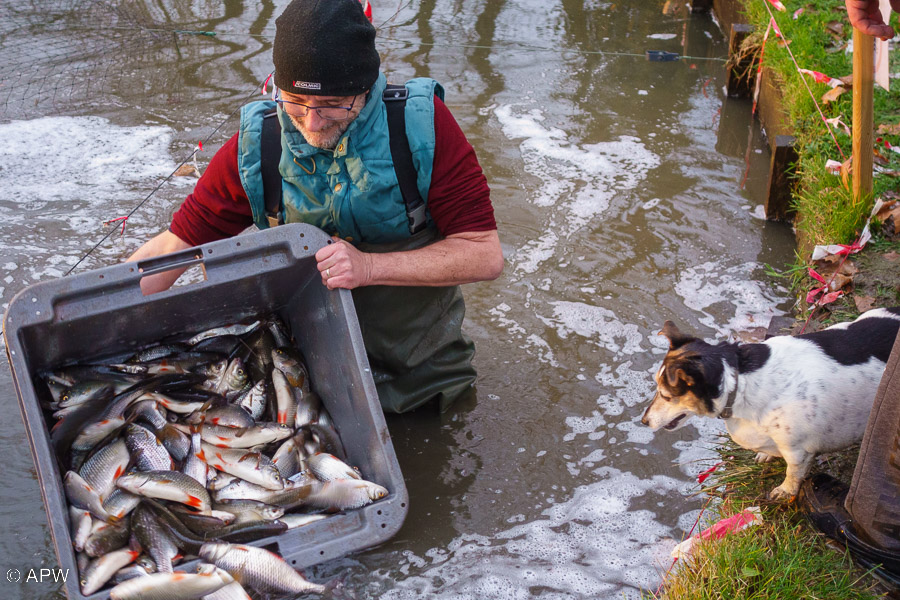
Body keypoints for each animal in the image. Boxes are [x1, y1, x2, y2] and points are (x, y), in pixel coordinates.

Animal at [640, 308, 900, 500]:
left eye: (665, 395)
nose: (643, 421)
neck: (739, 380)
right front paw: (766, 456)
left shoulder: (797, 450)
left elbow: (793, 473)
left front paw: (784, 492)